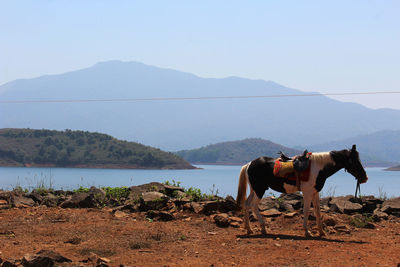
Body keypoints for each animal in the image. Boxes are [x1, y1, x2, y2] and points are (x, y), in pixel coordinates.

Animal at [236, 146, 368, 238]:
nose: (365, 178)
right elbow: (306, 210)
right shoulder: (307, 192)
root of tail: (249, 164)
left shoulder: (315, 192)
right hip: (260, 190)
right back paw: (263, 228)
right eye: (354, 161)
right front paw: (307, 232)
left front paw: (321, 232)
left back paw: (249, 229)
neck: (318, 168)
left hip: (254, 189)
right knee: (253, 205)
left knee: (247, 204)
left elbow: (317, 211)